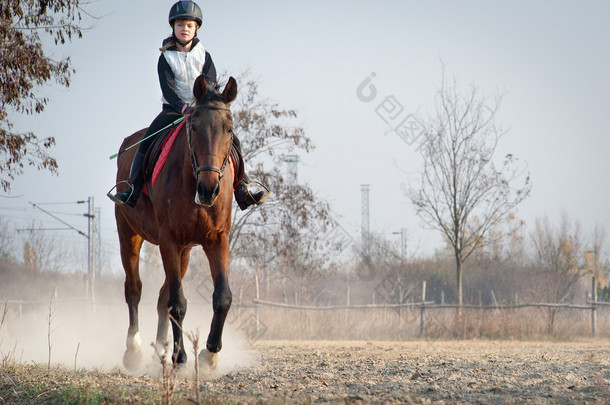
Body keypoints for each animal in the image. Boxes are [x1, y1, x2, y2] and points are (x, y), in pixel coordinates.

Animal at [111, 75, 235, 370]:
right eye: (194, 126)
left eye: (229, 129)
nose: (209, 189)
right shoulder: (169, 241)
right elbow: (177, 302)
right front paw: (181, 357)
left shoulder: (217, 241)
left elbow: (222, 297)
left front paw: (209, 354)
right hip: (129, 234)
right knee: (134, 289)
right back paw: (134, 351)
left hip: (185, 251)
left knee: (160, 297)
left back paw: (161, 351)